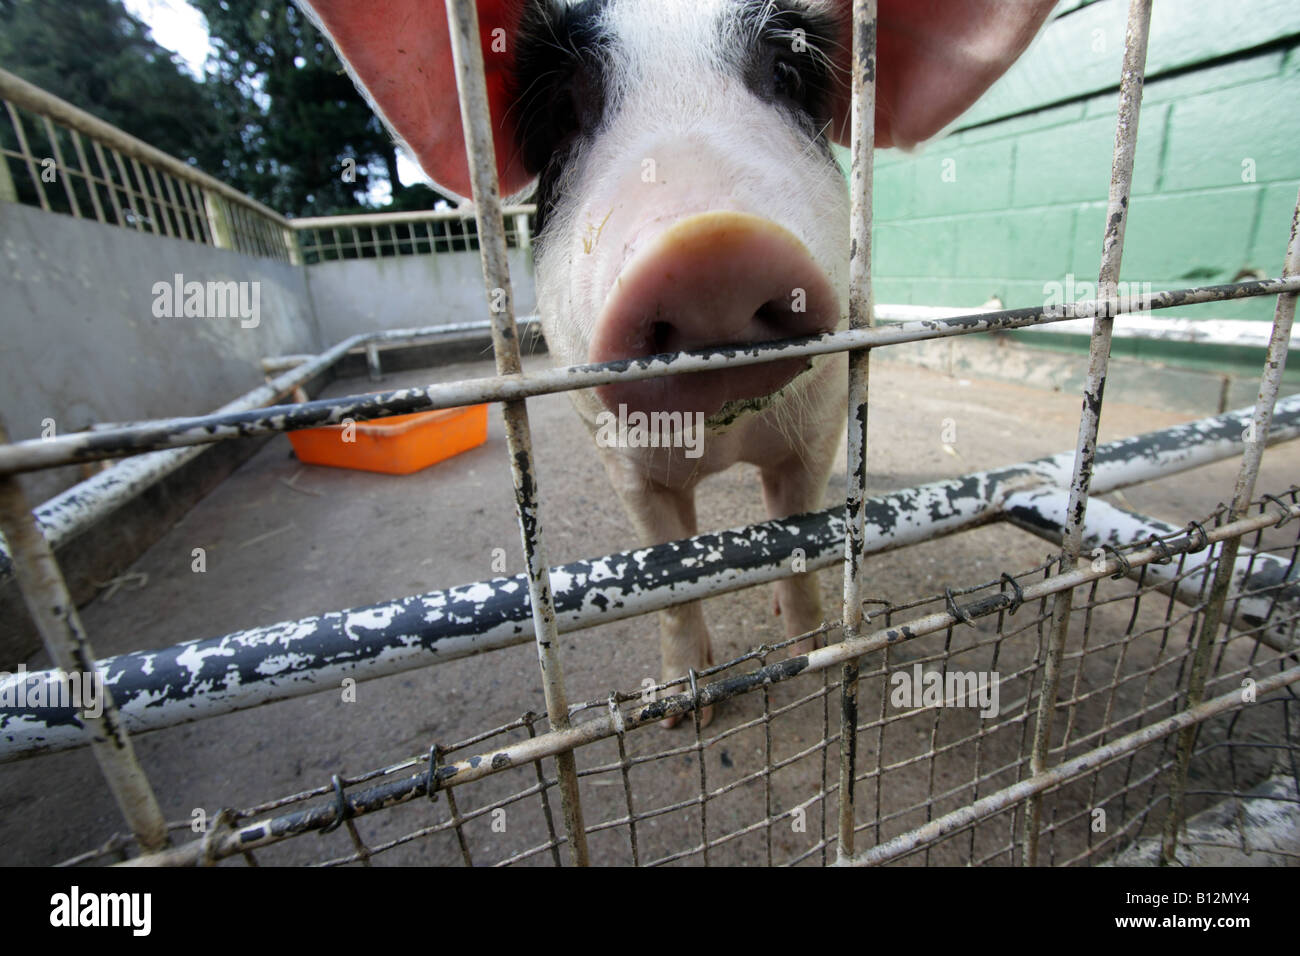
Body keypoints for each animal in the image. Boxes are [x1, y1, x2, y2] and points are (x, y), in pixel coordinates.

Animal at [299, 0, 1050, 723]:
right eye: (562, 110)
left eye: (788, 75)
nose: (709, 244)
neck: (724, 441)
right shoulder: (623, 460)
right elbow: (667, 577)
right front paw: (678, 713)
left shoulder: (817, 432)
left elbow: (799, 539)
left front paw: (807, 651)